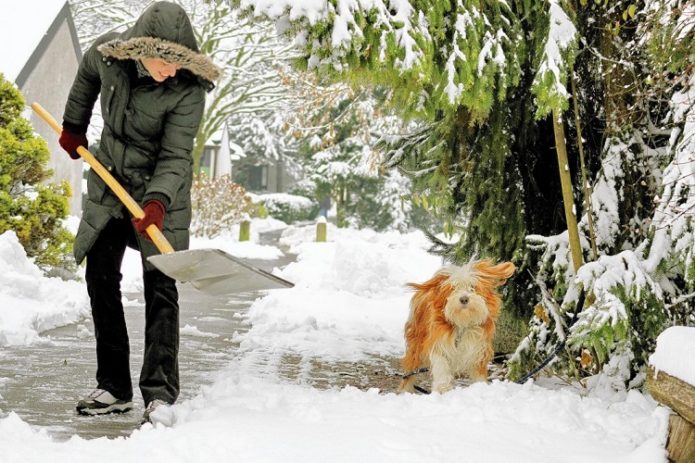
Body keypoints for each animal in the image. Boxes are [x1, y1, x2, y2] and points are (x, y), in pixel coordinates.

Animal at [400, 260, 512, 394]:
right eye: (453, 288)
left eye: (473, 287)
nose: (464, 299)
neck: (462, 324)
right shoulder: (439, 343)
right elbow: (442, 366)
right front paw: (442, 389)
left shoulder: (478, 348)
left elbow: (478, 372)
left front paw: (480, 387)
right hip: (415, 344)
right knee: (409, 371)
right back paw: (405, 390)